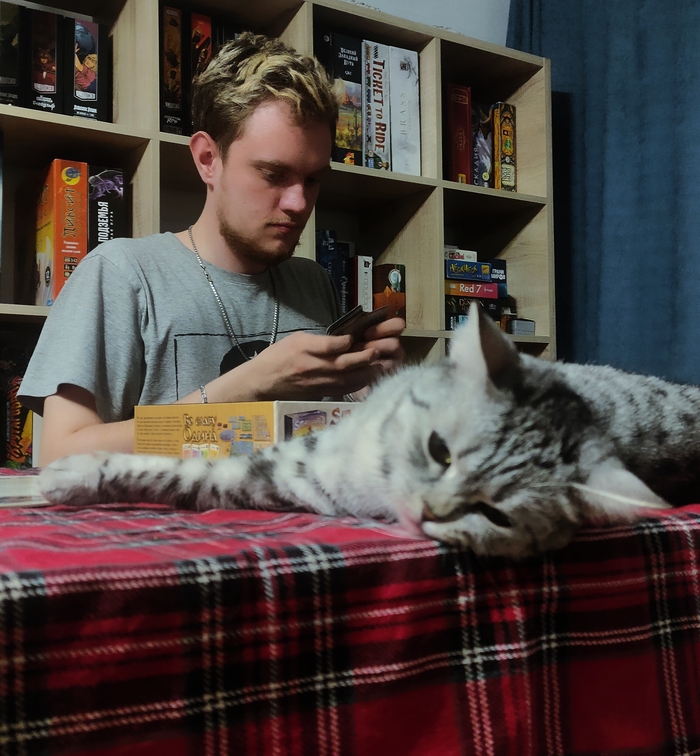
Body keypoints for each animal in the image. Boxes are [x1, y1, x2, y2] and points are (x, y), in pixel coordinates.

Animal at [39, 302, 698, 559]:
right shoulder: (290, 464)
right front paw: (69, 477)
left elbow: (184, 479)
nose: (431, 512)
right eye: (438, 450)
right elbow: (170, 467)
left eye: (495, 514)